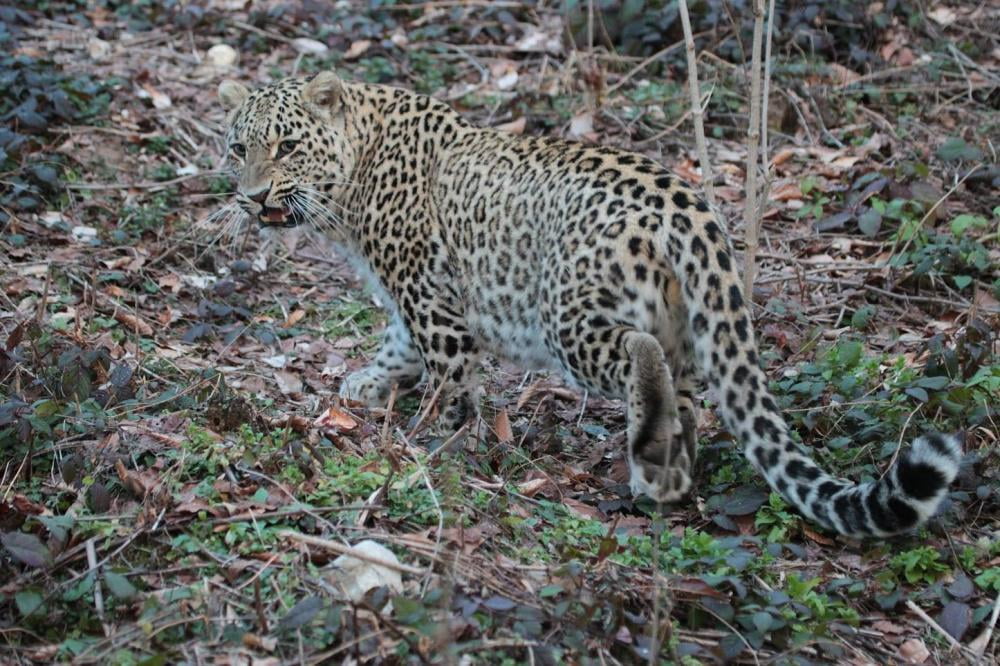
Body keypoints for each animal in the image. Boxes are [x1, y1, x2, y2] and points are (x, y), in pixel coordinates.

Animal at [217, 72, 960, 536]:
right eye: (238, 147)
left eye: (287, 145)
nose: (251, 197)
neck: (353, 177)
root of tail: (683, 204)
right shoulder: (418, 298)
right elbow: (399, 344)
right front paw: (369, 384)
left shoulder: (428, 293)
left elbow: (448, 372)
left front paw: (439, 439)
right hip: (685, 323)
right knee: (689, 399)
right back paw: (662, 474)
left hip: (571, 315)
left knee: (640, 355)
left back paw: (649, 453)